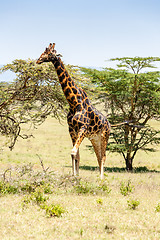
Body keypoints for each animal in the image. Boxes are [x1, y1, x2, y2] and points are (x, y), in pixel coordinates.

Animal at [36, 42, 110, 178]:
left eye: (49, 52)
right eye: (44, 51)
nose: (38, 60)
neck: (74, 102)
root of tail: (109, 123)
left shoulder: (83, 128)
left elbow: (73, 152)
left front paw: (75, 176)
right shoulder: (71, 129)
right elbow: (76, 155)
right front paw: (75, 176)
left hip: (104, 136)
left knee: (103, 157)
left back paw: (101, 179)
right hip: (94, 138)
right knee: (99, 157)